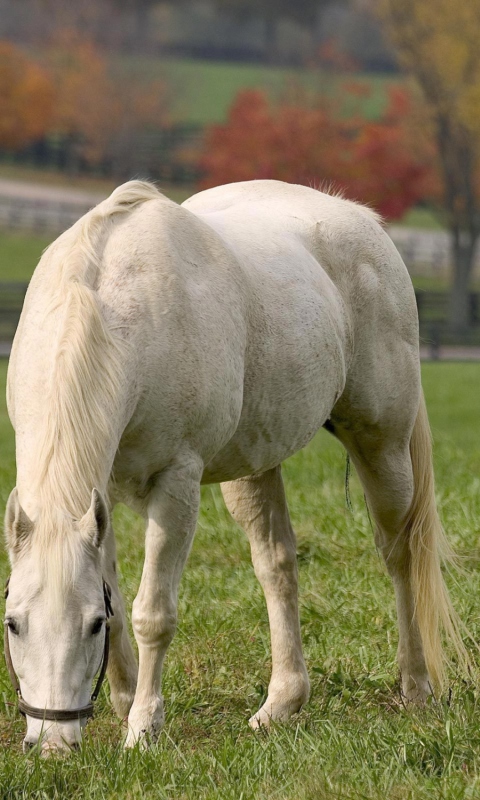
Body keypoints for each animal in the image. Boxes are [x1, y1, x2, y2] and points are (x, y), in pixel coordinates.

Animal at [2, 180, 464, 752]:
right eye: (13, 624)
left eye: (88, 626)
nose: (52, 745)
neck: (113, 312)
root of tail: (363, 220)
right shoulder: (98, 494)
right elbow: (120, 599)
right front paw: (125, 703)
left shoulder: (176, 486)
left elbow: (152, 613)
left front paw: (143, 728)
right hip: (255, 466)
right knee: (277, 564)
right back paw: (282, 703)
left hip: (383, 445)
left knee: (401, 555)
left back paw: (415, 685)